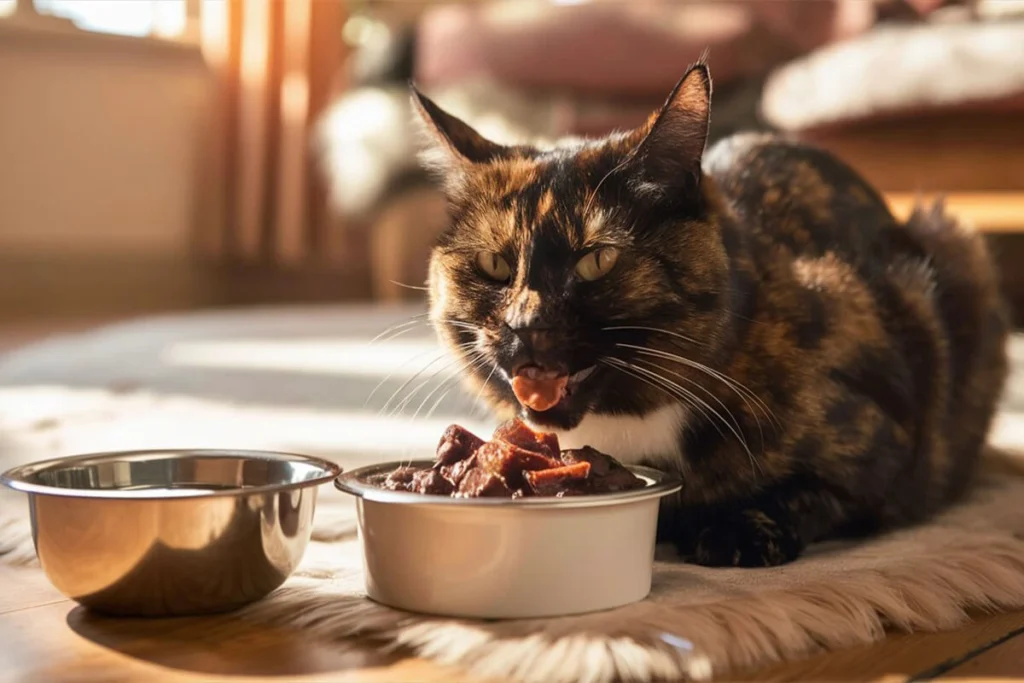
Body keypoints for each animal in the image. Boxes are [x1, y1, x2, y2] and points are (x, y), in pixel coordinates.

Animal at [413, 61, 1007, 569]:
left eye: (596, 260)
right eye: (494, 264)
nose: (526, 324)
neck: (630, 422)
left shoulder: (890, 437)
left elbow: (817, 491)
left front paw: (737, 530)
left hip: (959, 254)